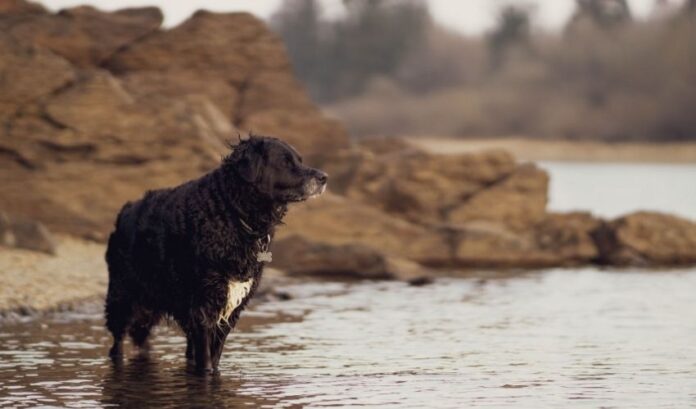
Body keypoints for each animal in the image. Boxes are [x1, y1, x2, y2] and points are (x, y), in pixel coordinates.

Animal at [104, 135, 328, 372]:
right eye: (285, 162)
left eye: (299, 160)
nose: (324, 177)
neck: (231, 213)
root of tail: (125, 210)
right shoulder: (204, 304)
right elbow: (206, 360)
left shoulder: (230, 307)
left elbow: (215, 354)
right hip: (122, 297)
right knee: (117, 342)